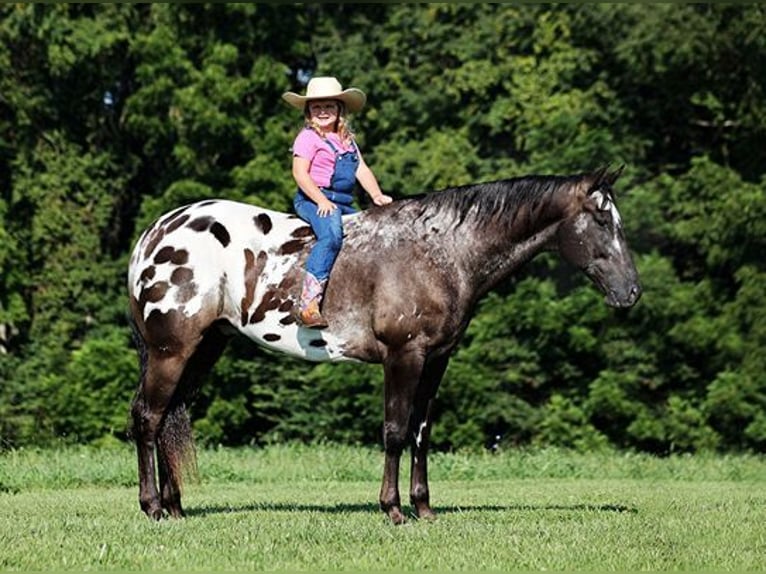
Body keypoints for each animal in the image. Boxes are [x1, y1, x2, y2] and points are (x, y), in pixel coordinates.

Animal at [130, 168, 640, 528]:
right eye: (601, 218)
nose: (631, 292)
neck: (442, 251)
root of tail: (154, 234)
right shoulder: (403, 356)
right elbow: (394, 430)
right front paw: (393, 509)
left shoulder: (436, 360)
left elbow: (420, 433)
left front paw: (424, 508)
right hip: (171, 351)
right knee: (149, 418)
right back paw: (152, 506)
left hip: (203, 349)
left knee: (169, 416)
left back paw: (175, 507)